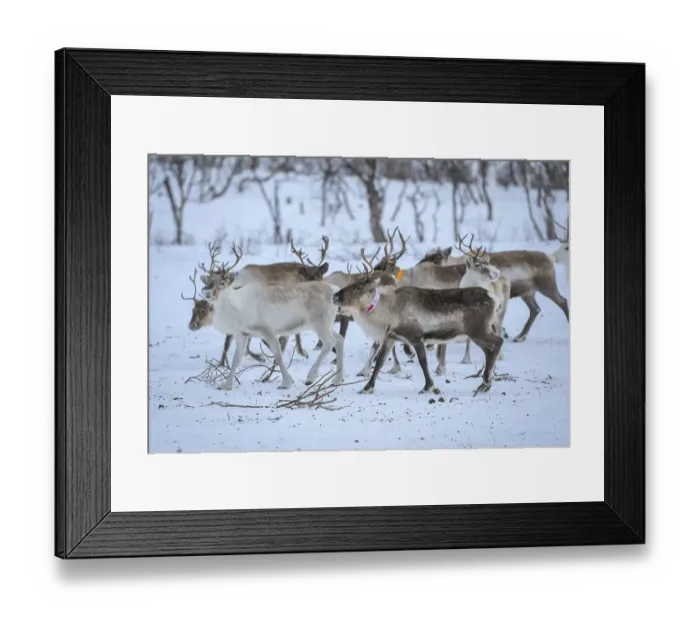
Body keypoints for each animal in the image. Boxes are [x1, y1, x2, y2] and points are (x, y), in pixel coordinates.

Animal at [331, 258, 503, 396]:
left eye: (359, 287)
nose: (335, 296)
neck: (389, 310)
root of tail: (494, 298)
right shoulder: (391, 337)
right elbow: (379, 362)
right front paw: (367, 388)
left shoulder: (416, 337)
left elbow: (422, 362)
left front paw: (429, 387)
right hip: (476, 333)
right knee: (490, 349)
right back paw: (485, 384)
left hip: (478, 330)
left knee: (498, 342)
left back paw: (485, 384)